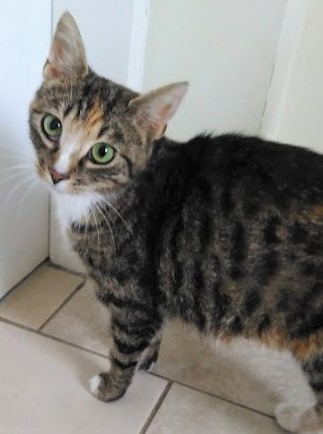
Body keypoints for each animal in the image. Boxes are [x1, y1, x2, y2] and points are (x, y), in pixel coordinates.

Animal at [29, 11, 323, 432]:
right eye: (52, 126)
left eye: (102, 152)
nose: (56, 174)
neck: (111, 195)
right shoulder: (156, 292)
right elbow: (153, 331)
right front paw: (148, 361)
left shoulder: (132, 294)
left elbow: (124, 345)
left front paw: (111, 389)